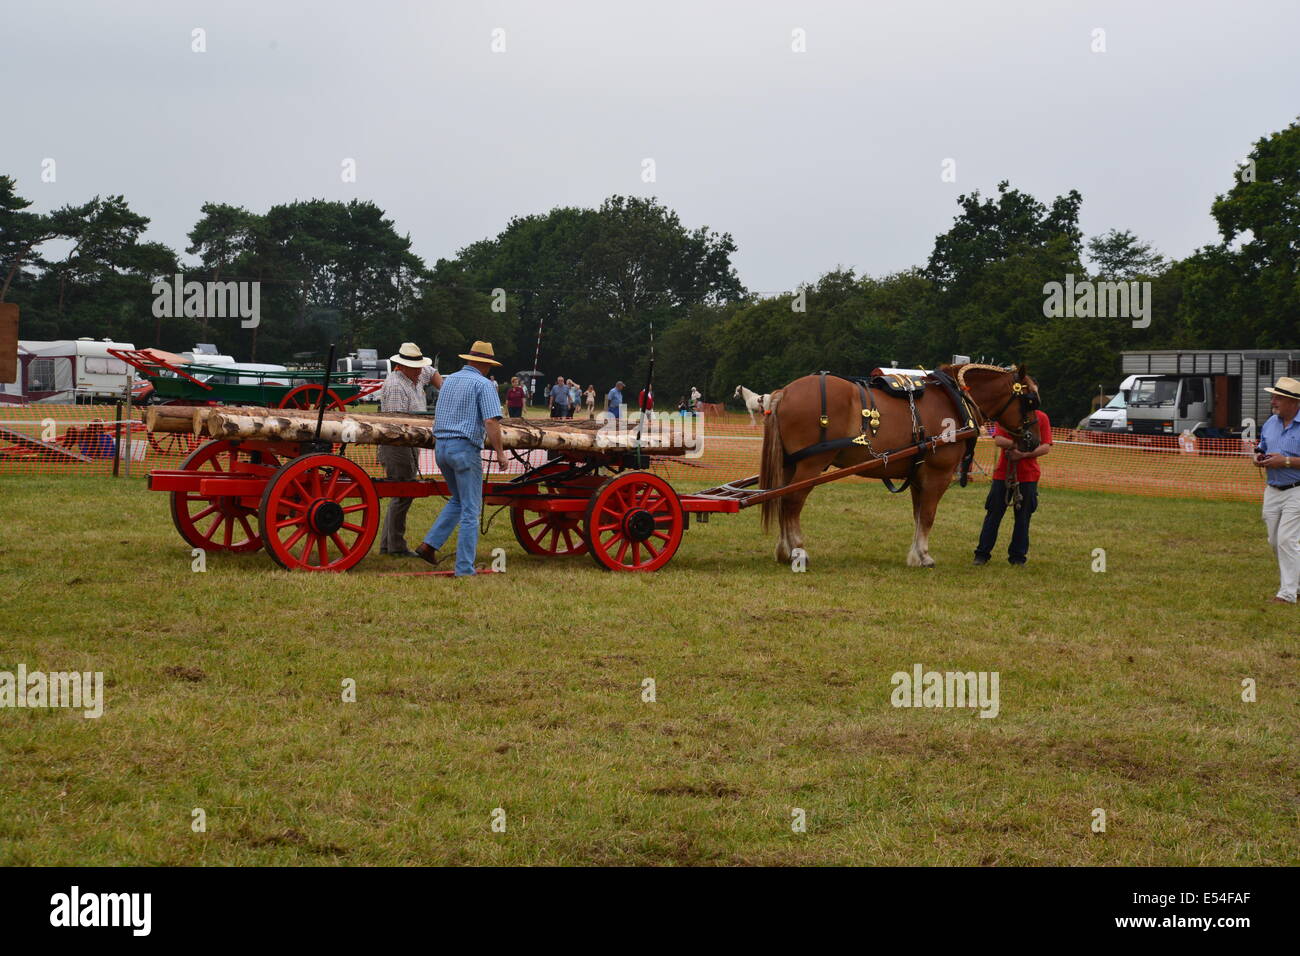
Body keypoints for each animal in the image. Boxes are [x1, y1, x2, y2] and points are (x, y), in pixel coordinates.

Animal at [759, 361, 1040, 564]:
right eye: (1030, 401)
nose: (1034, 441)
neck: (955, 399)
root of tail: (785, 392)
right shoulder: (938, 474)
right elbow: (928, 515)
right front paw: (924, 556)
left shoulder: (918, 476)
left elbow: (918, 515)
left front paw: (916, 553)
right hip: (811, 464)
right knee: (792, 501)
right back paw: (797, 550)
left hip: (790, 463)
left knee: (781, 498)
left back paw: (784, 550)